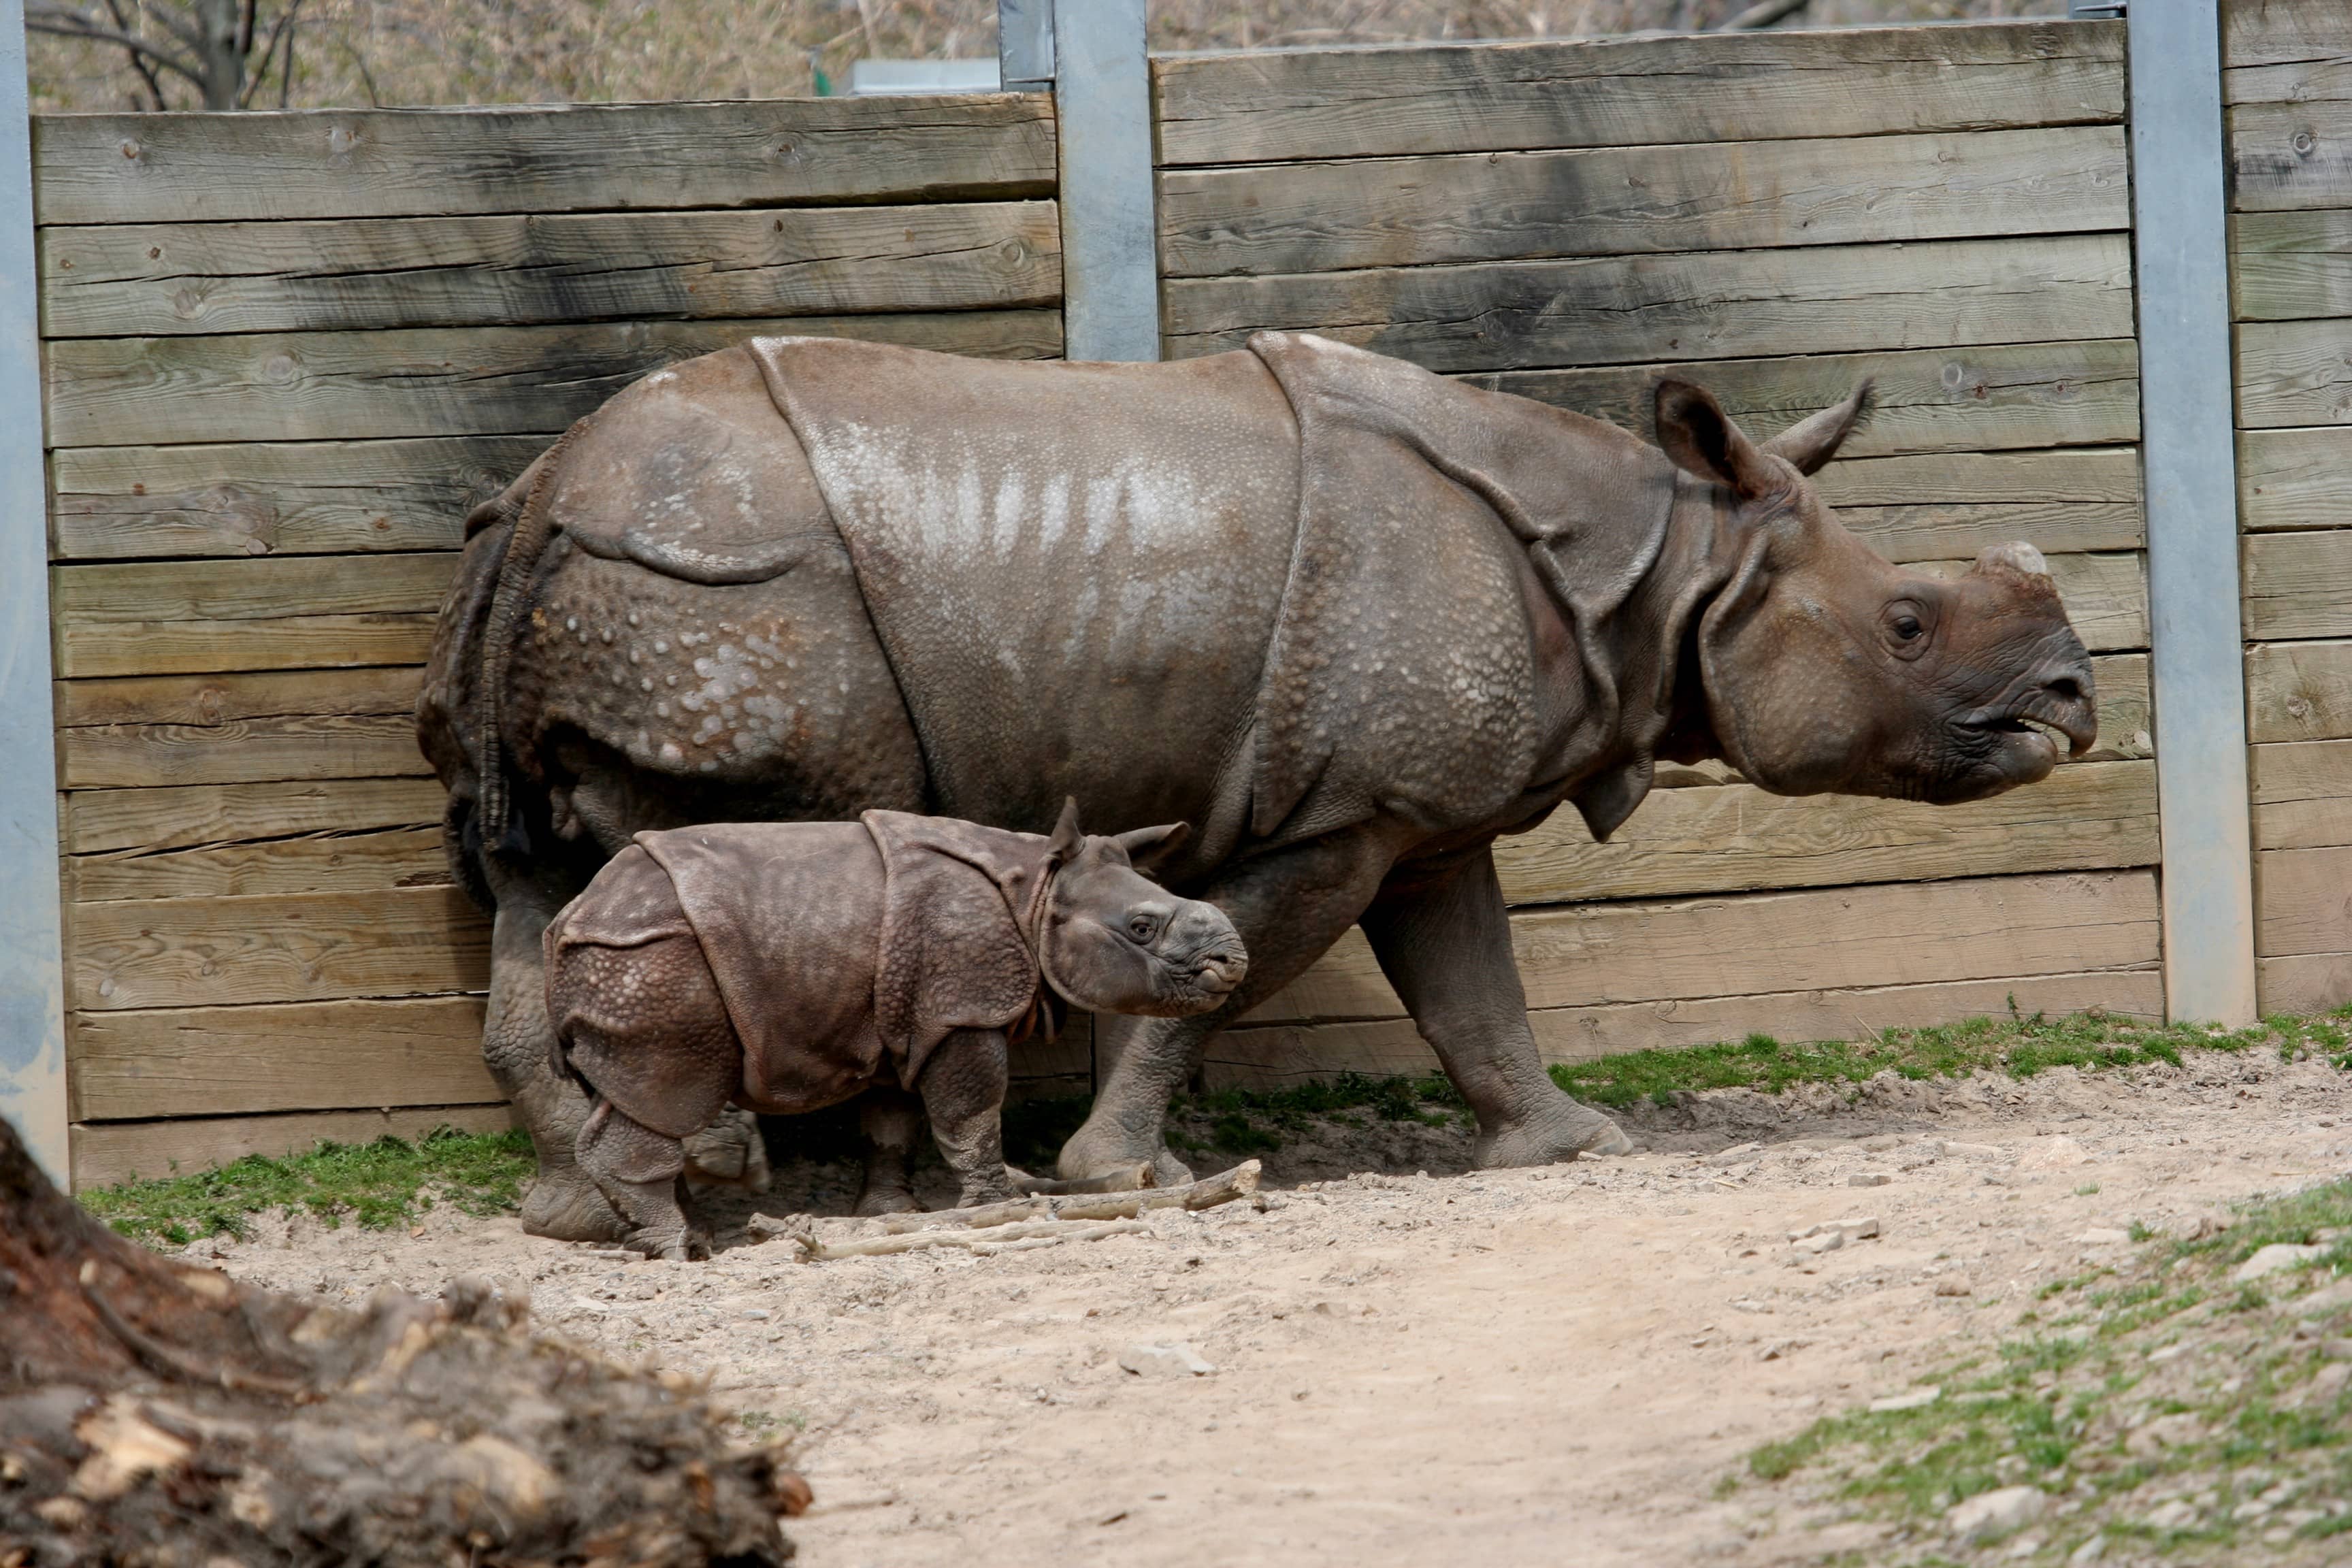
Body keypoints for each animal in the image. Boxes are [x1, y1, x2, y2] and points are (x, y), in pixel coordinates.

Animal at [546, 801, 1245, 1257]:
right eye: (1142, 928)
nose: (1232, 962)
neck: (1038, 893)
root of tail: (570, 918)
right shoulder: (962, 1010)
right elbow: (972, 1114)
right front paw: (998, 1208)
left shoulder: (907, 1018)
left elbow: (891, 1122)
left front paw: (893, 1215)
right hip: (651, 962)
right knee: (667, 1092)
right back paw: (679, 1251)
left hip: (630, 963)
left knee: (630, 1095)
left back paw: (688, 1238)